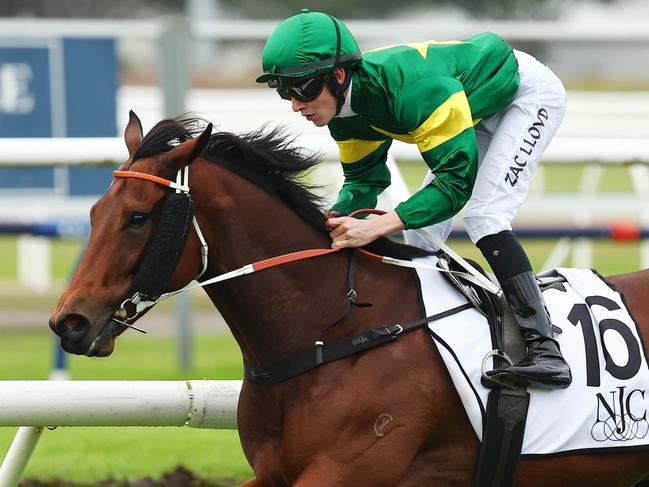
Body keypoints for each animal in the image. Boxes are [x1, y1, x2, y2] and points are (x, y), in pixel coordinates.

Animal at [49, 112, 648, 486]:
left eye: (137, 218)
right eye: (94, 212)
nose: (68, 322)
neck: (330, 333)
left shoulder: (347, 470)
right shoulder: (273, 473)